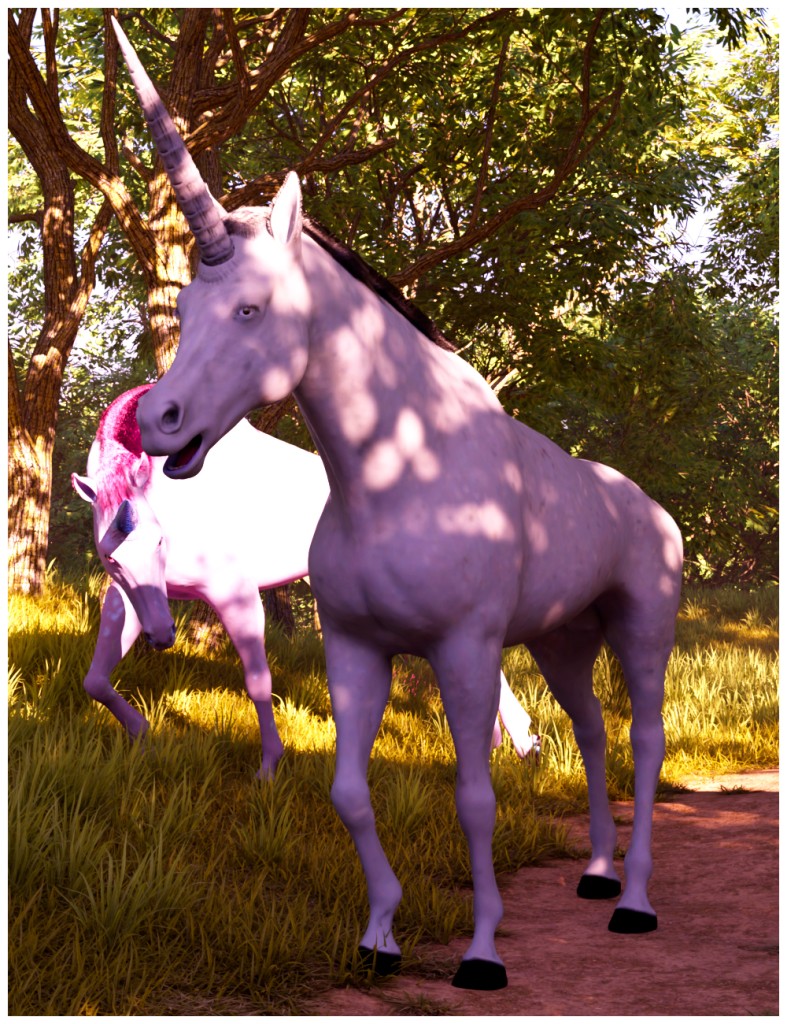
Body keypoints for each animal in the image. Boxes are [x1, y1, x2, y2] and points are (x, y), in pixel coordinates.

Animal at [72, 385, 539, 777]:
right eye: (111, 559)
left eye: (159, 539)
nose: (163, 637)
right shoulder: (136, 597)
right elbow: (95, 679)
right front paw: (143, 733)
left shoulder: (235, 593)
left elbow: (258, 681)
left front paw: (269, 766)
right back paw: (504, 743)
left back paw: (520, 743)